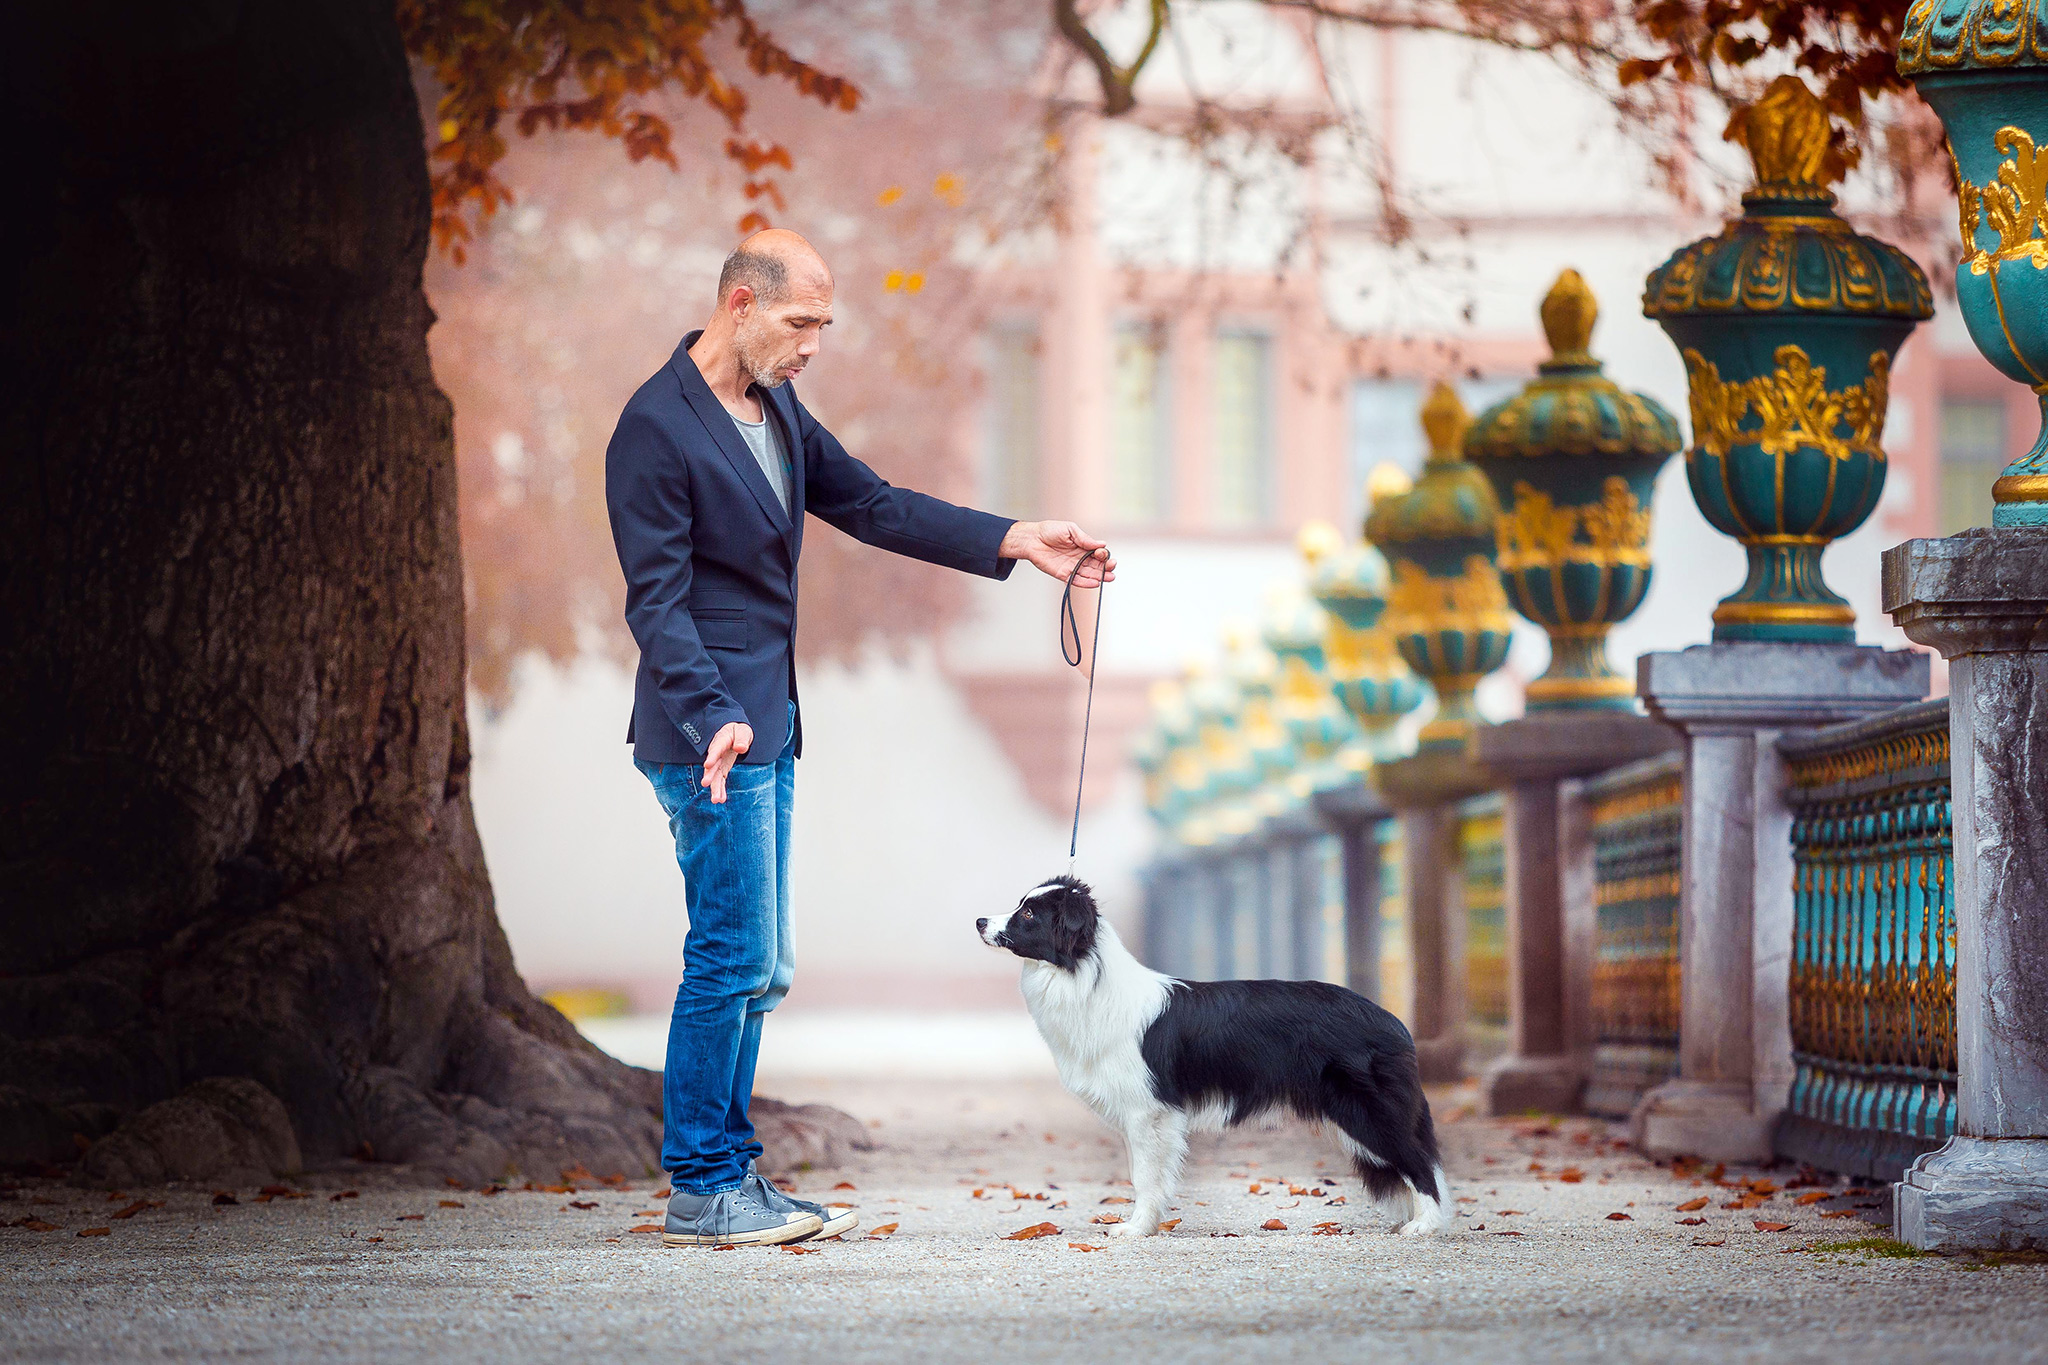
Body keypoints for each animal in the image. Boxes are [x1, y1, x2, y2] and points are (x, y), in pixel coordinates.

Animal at [978, 875, 1449, 1236]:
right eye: (1021, 906)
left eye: (1029, 915)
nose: (980, 920)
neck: (1083, 977)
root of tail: (1393, 1020)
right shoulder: (1140, 1114)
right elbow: (1146, 1174)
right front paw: (1148, 1226)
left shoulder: (1149, 1111)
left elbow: (1144, 1176)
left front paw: (1135, 1229)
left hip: (1366, 1111)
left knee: (1419, 1163)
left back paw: (1424, 1226)